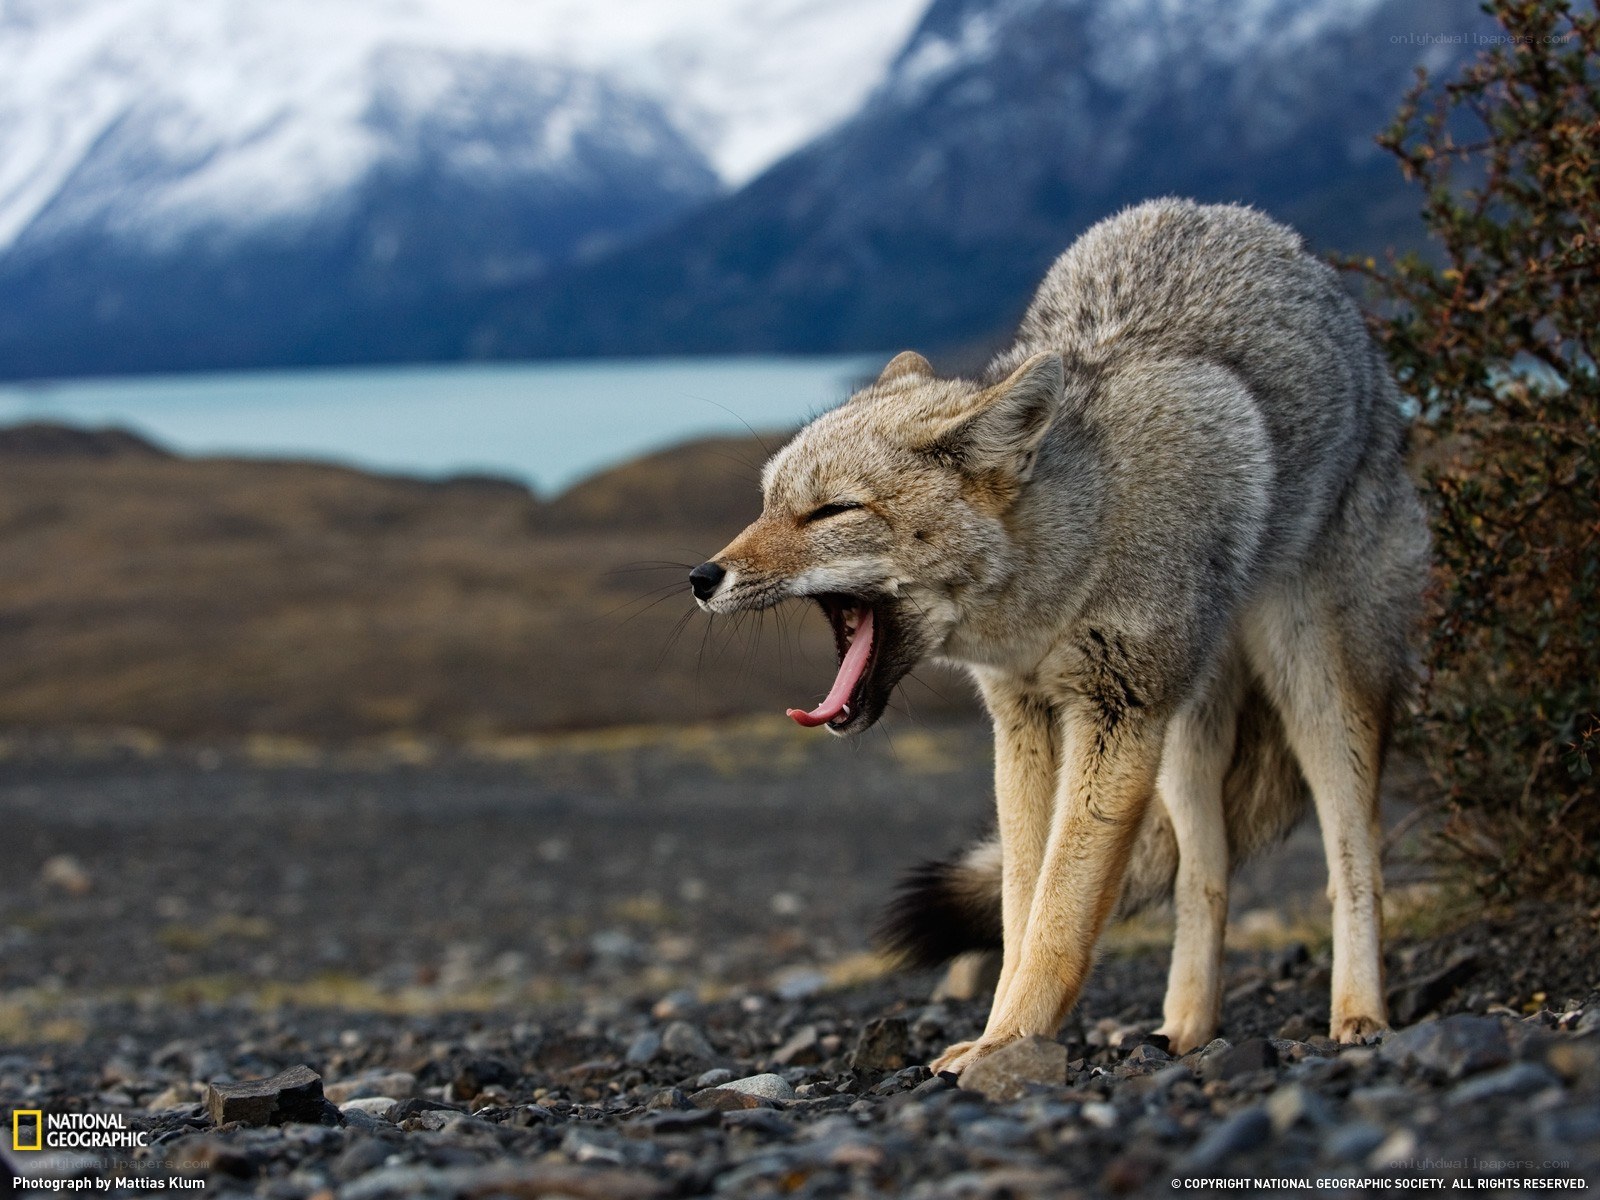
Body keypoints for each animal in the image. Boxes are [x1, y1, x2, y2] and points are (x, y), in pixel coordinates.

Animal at [688, 199, 1428, 1074]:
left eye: (831, 512)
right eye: (767, 504)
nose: (701, 576)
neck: (1064, 569)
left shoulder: (1118, 715)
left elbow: (1060, 914)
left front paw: (1008, 1041)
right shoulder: (1027, 722)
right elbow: (1020, 906)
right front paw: (997, 1034)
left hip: (1315, 690)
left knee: (1356, 860)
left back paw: (1359, 1013)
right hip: (1187, 734)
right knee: (1203, 876)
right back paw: (1187, 1027)